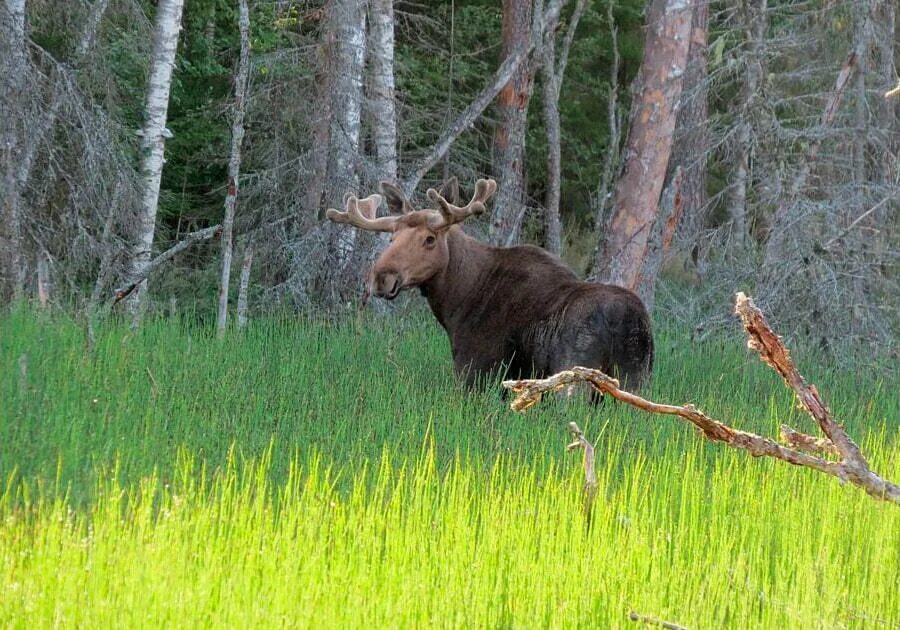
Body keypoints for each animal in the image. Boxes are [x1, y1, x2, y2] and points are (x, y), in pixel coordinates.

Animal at [326, 175, 652, 388]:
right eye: (392, 237)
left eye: (430, 239)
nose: (381, 278)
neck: (456, 300)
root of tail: (626, 321)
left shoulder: (475, 368)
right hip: (635, 377)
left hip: (574, 376)